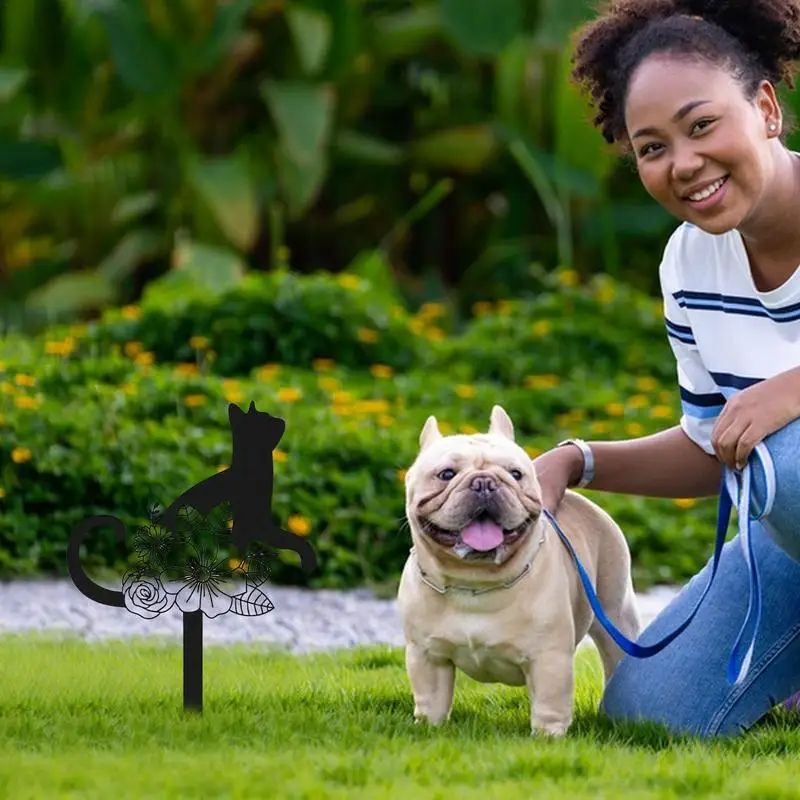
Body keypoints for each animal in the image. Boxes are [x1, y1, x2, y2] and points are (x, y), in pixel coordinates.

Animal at [396, 406, 644, 736]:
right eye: (446, 474)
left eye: (515, 474)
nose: (485, 482)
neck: (473, 581)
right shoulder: (427, 655)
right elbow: (431, 700)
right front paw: (428, 728)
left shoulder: (549, 659)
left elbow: (550, 705)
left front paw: (548, 737)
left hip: (615, 612)